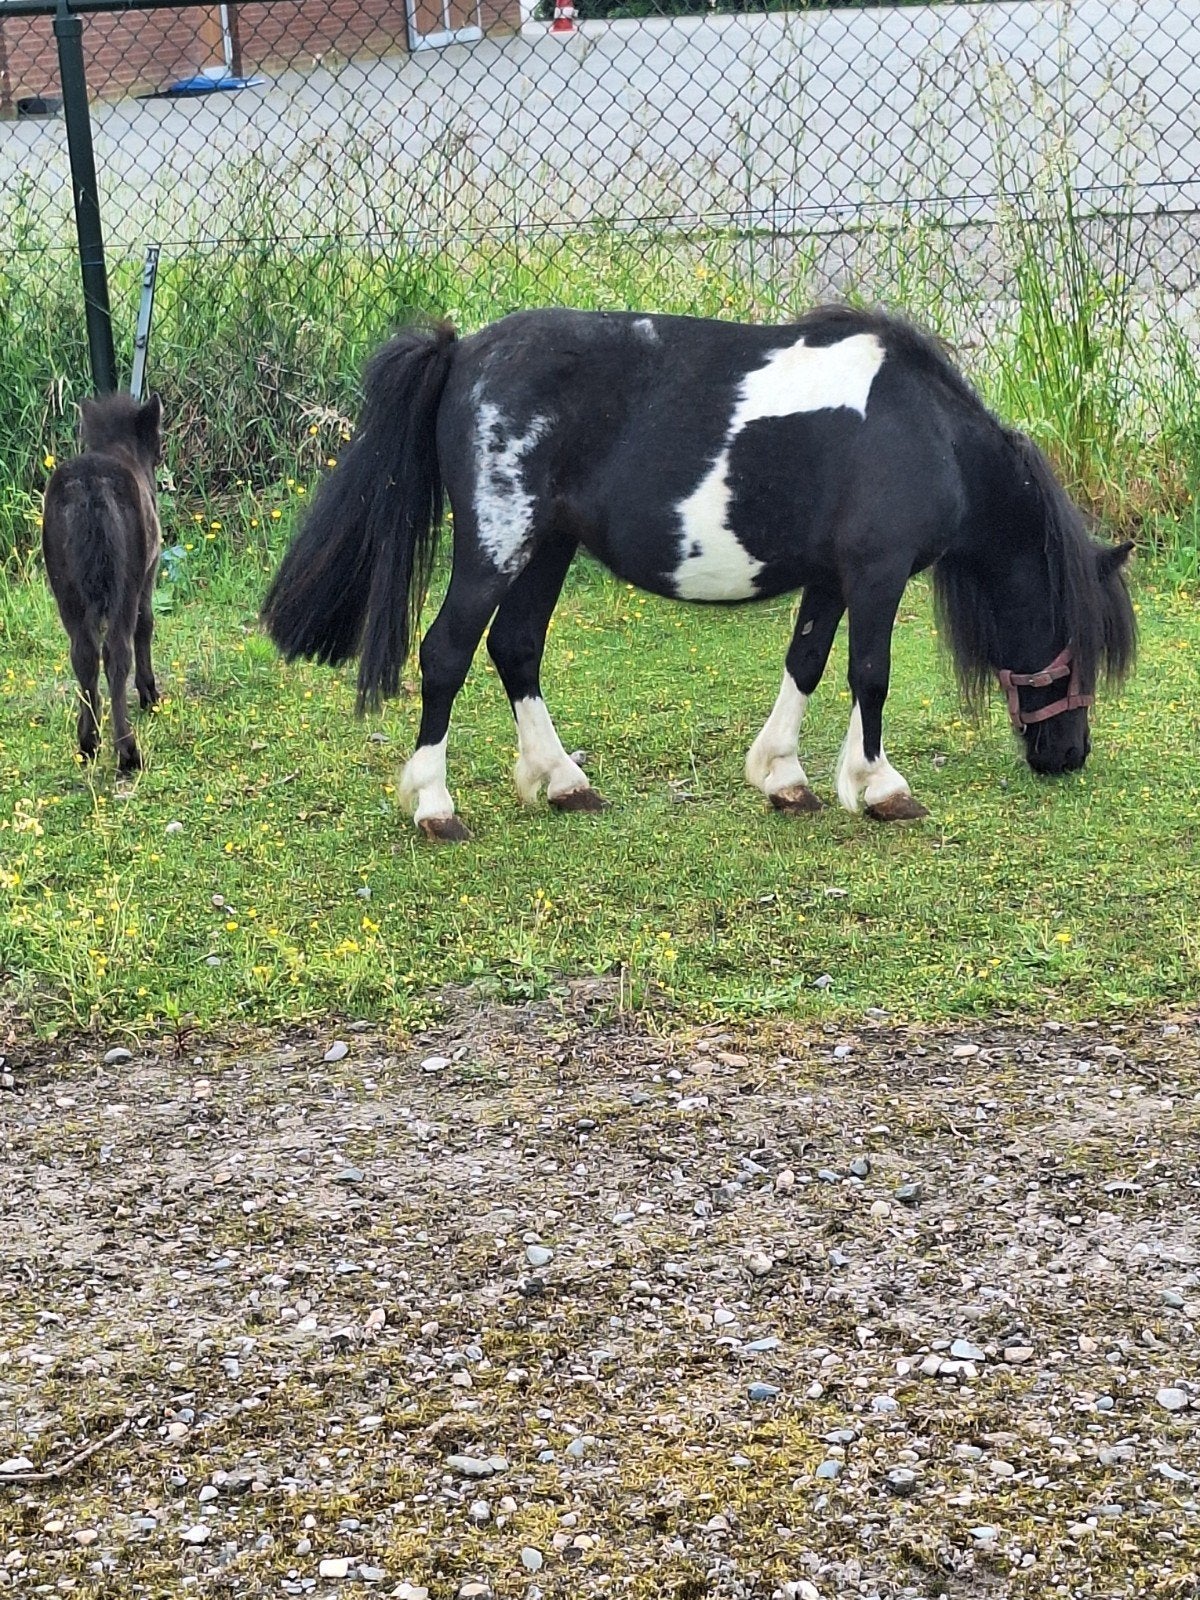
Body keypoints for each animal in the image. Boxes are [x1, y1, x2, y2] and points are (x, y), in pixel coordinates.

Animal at [42, 392, 164, 772]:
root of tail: (89, 488)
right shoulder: (149, 572)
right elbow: (146, 624)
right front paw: (150, 694)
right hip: (124, 582)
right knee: (117, 651)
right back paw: (128, 751)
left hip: (65, 587)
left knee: (82, 653)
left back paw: (88, 742)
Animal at [262, 306, 1135, 841]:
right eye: (1075, 641)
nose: (1068, 754)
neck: (921, 430)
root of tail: (464, 351)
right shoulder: (876, 573)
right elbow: (870, 674)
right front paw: (880, 787)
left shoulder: (831, 578)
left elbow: (807, 662)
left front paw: (783, 777)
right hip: (496, 548)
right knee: (446, 654)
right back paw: (435, 807)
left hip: (547, 549)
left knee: (515, 650)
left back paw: (563, 781)